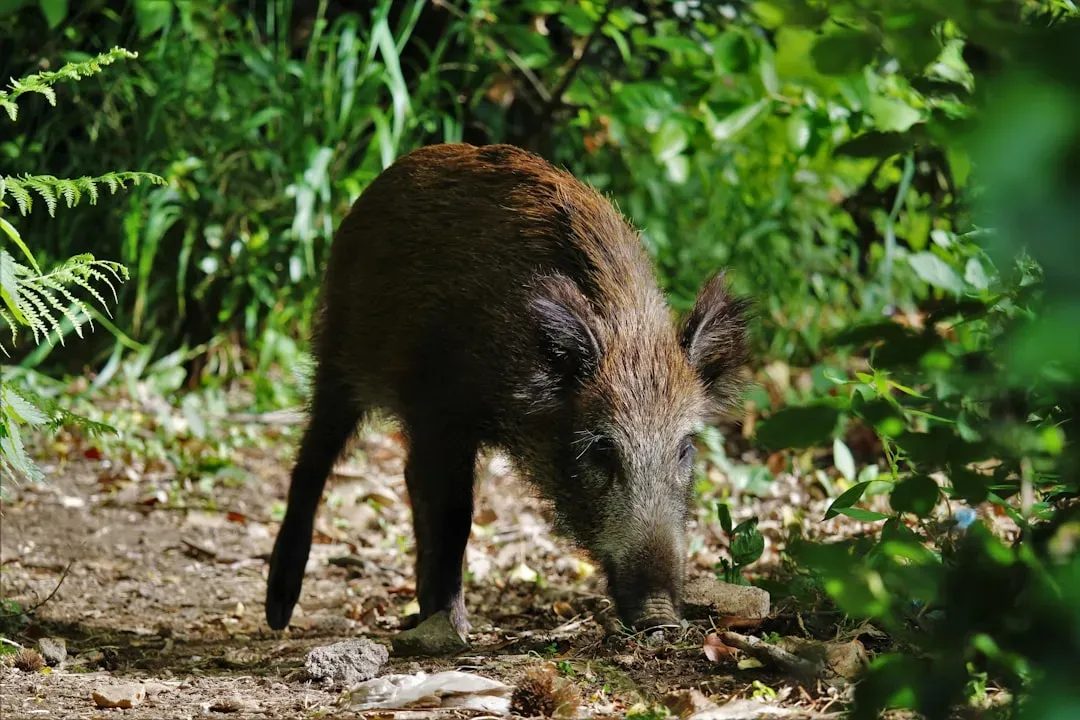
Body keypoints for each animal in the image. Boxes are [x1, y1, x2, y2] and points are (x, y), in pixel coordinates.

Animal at [265, 143, 749, 637]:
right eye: (601, 449)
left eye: (685, 448)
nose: (661, 619)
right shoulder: (440, 409)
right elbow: (454, 515)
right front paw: (456, 630)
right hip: (339, 350)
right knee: (315, 457)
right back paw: (279, 612)